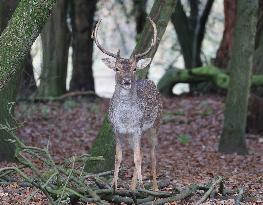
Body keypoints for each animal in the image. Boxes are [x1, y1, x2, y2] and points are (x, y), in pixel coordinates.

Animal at [93, 17, 163, 191]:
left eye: (134, 68)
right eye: (117, 68)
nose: (126, 81)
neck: (125, 118)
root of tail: (151, 81)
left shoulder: (137, 128)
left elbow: (137, 158)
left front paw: (142, 185)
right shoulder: (116, 129)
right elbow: (118, 157)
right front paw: (114, 185)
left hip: (155, 124)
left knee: (152, 154)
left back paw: (153, 187)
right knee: (139, 153)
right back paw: (132, 187)